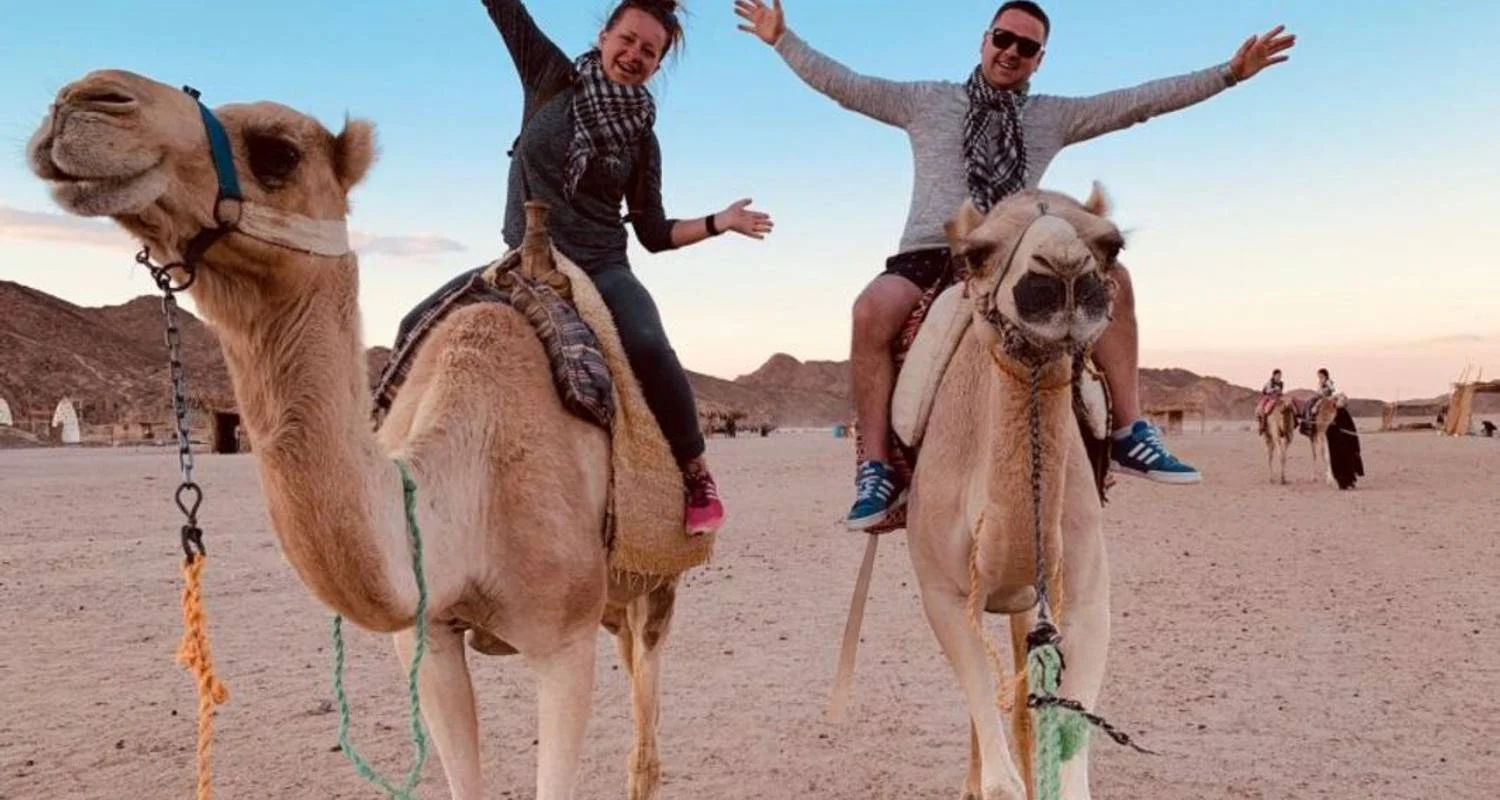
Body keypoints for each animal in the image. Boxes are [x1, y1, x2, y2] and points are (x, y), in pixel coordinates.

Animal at [29, 68, 682, 800]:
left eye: (278, 151)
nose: (82, 100)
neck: (471, 485)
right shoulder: (428, 636)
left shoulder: (563, 641)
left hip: (657, 577)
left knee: (646, 715)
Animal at [905, 185, 1121, 800]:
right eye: (976, 254)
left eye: (1111, 245)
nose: (1064, 275)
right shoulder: (942, 593)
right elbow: (1000, 775)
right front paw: (985, 784)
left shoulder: (1088, 597)